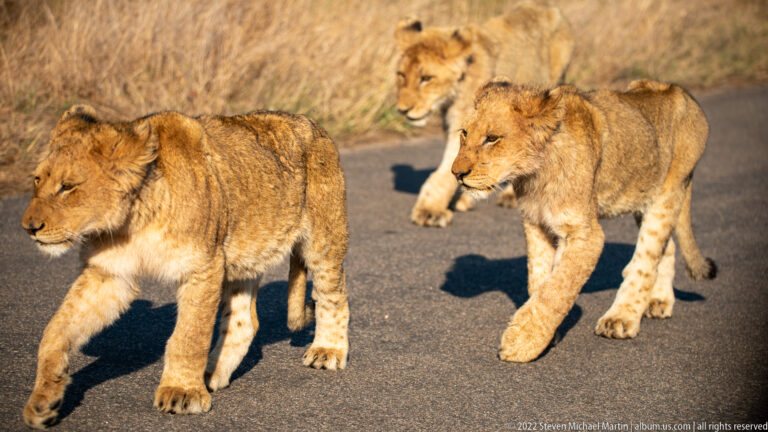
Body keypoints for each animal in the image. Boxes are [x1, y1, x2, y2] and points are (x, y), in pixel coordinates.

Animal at [20, 105, 350, 428]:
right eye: (37, 180)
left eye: (67, 187)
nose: (29, 228)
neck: (133, 219)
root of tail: (311, 123)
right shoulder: (110, 273)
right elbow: (57, 329)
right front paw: (43, 400)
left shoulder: (202, 266)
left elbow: (189, 336)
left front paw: (181, 393)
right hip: (246, 254)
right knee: (243, 321)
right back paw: (211, 373)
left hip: (324, 239)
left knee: (334, 296)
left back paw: (327, 351)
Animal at [395, 1, 574, 227]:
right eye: (401, 75)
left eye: (426, 78)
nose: (402, 109)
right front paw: (462, 197)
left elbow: (445, 172)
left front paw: (429, 211)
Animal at [452, 77, 717, 362]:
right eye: (464, 133)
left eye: (492, 138)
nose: (456, 173)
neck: (535, 174)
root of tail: (679, 91)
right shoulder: (536, 224)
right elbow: (540, 279)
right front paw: (545, 335)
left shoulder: (585, 234)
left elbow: (558, 288)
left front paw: (522, 341)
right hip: (643, 198)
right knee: (667, 247)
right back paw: (660, 301)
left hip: (667, 194)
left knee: (646, 259)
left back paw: (621, 318)